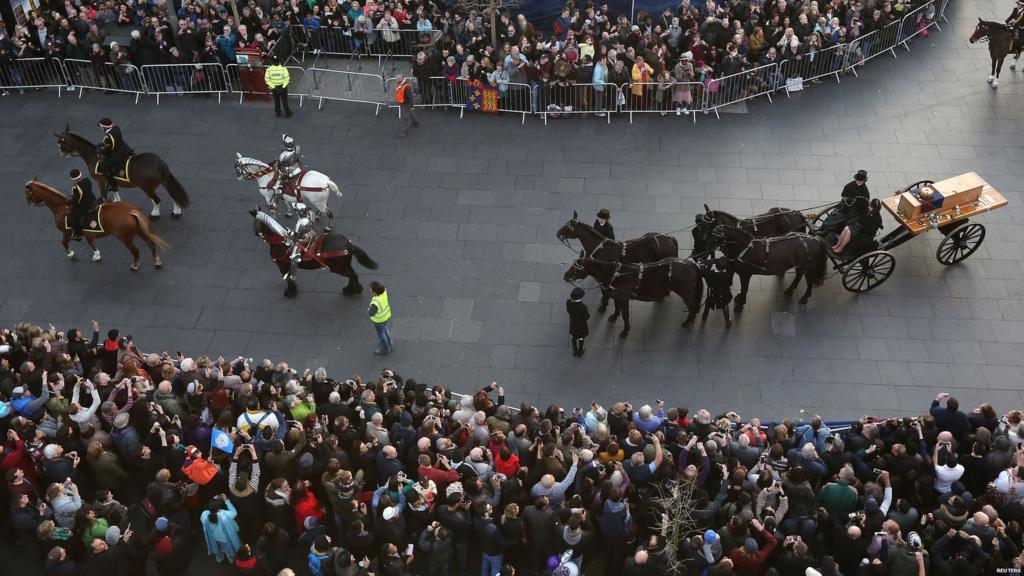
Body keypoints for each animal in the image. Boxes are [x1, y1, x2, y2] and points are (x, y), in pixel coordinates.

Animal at [24, 178, 168, 270]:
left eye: (28, 192)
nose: (28, 203)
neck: (62, 208)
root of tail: (130, 211)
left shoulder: (66, 232)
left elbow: (64, 243)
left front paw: (70, 253)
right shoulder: (87, 233)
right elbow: (91, 243)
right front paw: (96, 255)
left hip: (125, 238)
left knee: (136, 251)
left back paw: (135, 265)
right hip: (139, 230)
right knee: (151, 243)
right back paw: (157, 261)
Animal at [54, 124, 190, 218]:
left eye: (61, 141)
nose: (61, 154)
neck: (94, 156)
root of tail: (159, 164)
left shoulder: (101, 181)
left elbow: (104, 196)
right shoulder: (110, 180)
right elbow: (114, 189)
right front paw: (116, 202)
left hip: (147, 187)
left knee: (157, 200)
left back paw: (155, 214)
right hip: (164, 182)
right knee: (173, 195)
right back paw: (176, 211)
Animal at [249, 207, 378, 295]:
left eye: (254, 223)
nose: (255, 233)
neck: (280, 241)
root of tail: (349, 244)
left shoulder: (282, 264)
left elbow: (287, 277)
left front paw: (290, 291)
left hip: (338, 267)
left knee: (352, 275)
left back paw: (352, 290)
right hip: (344, 265)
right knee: (352, 275)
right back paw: (351, 289)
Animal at [561, 256, 704, 336]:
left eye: (576, 268)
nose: (565, 276)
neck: (617, 275)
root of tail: (692, 265)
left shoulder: (624, 299)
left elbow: (625, 315)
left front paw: (625, 330)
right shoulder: (618, 297)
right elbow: (617, 308)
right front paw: (614, 317)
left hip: (686, 293)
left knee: (692, 306)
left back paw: (687, 321)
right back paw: (691, 320)